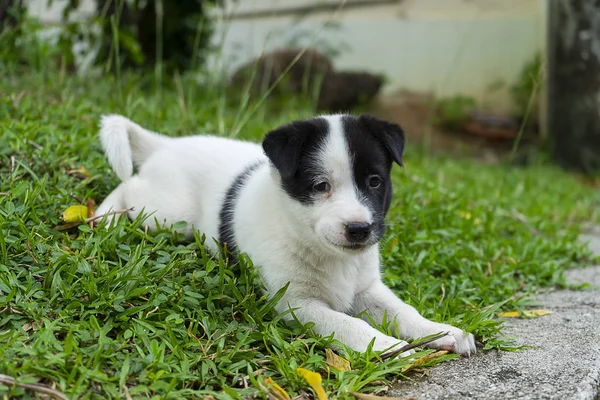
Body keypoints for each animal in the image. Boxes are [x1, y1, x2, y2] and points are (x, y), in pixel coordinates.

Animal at [96, 115, 476, 356]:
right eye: (320, 186)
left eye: (374, 181)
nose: (359, 229)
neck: (328, 254)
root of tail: (166, 145)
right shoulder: (295, 303)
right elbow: (348, 324)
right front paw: (388, 347)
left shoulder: (367, 289)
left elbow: (404, 312)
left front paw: (441, 331)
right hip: (164, 213)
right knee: (128, 186)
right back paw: (103, 217)